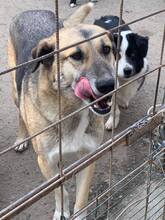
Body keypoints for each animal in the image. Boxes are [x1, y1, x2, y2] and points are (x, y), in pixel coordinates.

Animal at [8, 3, 115, 218]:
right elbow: (61, 190)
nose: (109, 85)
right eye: (76, 56)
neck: (72, 110)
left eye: (107, 49)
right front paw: (62, 212)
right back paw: (21, 138)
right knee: (20, 113)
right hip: (15, 90)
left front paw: (79, 215)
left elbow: (81, 198)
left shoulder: (89, 156)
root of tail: (31, 11)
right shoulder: (45, 162)